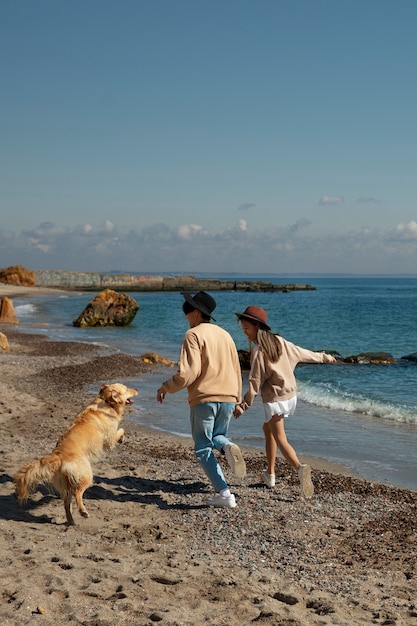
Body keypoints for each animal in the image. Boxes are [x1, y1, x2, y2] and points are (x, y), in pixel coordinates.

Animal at [14, 380, 137, 520]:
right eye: (126, 389)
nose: (136, 389)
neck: (106, 402)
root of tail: (58, 455)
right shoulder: (109, 439)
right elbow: (121, 430)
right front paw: (122, 438)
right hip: (86, 476)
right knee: (78, 493)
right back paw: (83, 512)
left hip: (66, 483)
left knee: (66, 503)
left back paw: (70, 520)